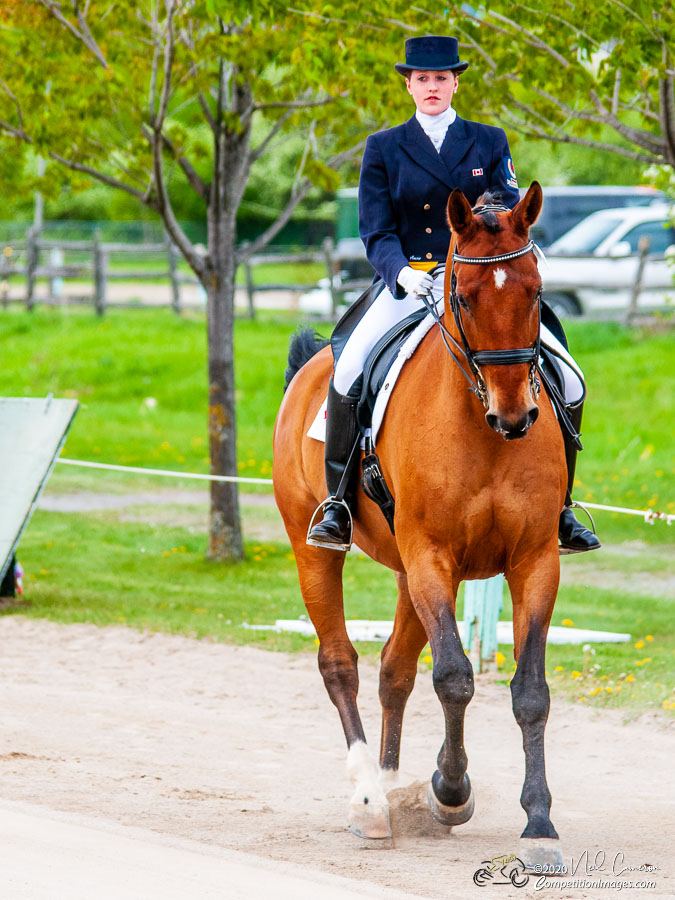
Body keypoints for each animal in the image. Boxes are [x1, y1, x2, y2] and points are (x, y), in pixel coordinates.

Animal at [274, 183, 564, 872]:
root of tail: (310, 367)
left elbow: (529, 691)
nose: (515, 415)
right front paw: (450, 792)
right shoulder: (432, 555)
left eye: (536, 291)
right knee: (341, 664)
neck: (483, 433)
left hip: (409, 573)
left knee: (394, 671)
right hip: (315, 547)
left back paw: (391, 782)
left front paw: (539, 821)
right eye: (463, 297)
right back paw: (369, 803)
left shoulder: (535, 559)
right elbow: (454, 677)